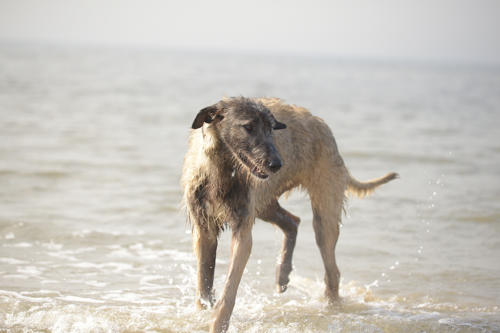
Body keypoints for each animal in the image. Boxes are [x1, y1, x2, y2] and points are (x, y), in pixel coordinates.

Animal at [182, 96, 396, 332]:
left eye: (271, 128)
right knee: (292, 221)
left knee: (332, 271)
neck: (222, 171)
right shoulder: (205, 231)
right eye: (248, 127)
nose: (277, 164)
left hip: (323, 216)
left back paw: (330, 310)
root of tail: (319, 122)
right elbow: (203, 284)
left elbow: (229, 288)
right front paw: (202, 311)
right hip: (266, 204)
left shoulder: (242, 233)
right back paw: (283, 274)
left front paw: (218, 322)